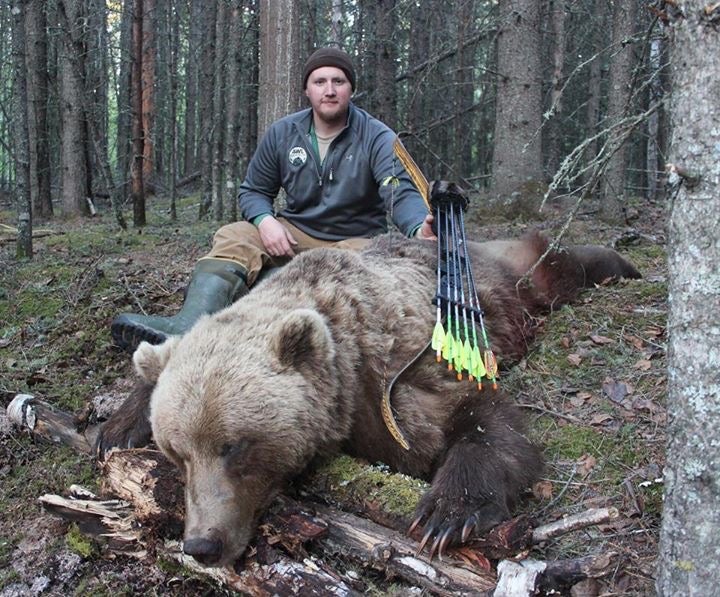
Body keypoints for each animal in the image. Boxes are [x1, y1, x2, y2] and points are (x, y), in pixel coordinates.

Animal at [95, 230, 640, 564]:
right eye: (177, 453)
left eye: (235, 446)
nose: (202, 545)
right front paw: (115, 430)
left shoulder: (397, 381)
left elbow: (481, 421)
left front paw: (445, 514)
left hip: (510, 285)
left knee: (554, 265)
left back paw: (623, 264)